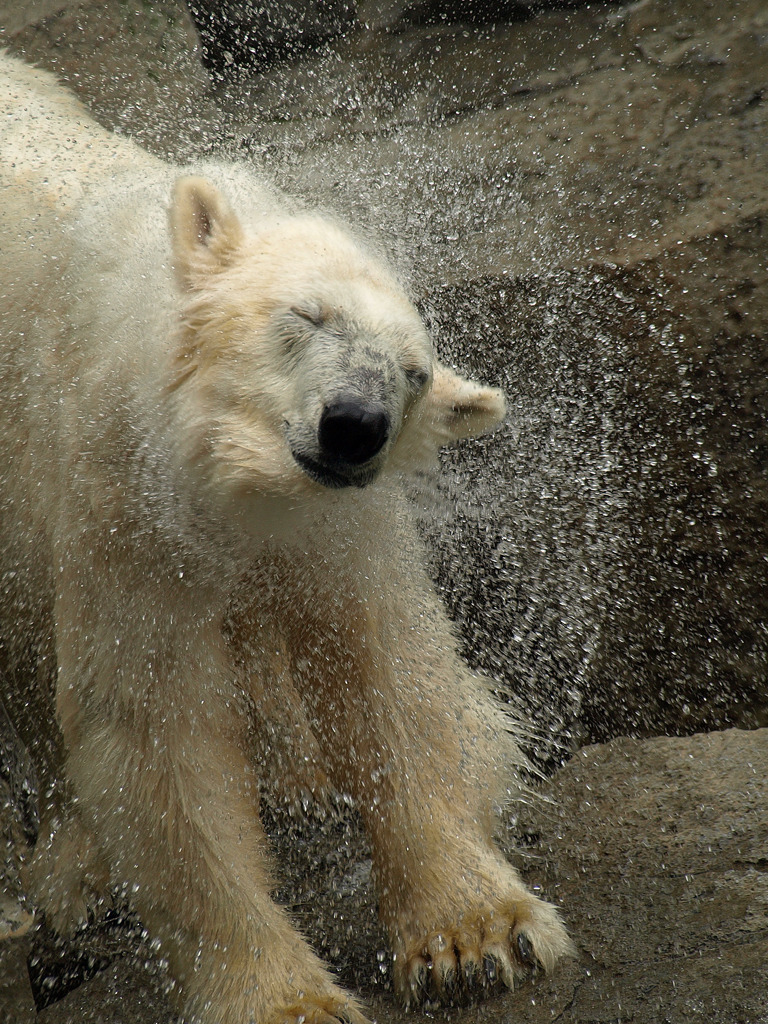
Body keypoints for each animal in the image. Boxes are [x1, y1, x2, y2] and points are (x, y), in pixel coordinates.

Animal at [0, 54, 569, 1024]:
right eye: (307, 317)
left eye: (414, 374)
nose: (356, 427)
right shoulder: (122, 500)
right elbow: (159, 733)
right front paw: (285, 996)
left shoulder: (335, 527)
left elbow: (388, 674)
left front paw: (477, 934)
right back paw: (72, 875)